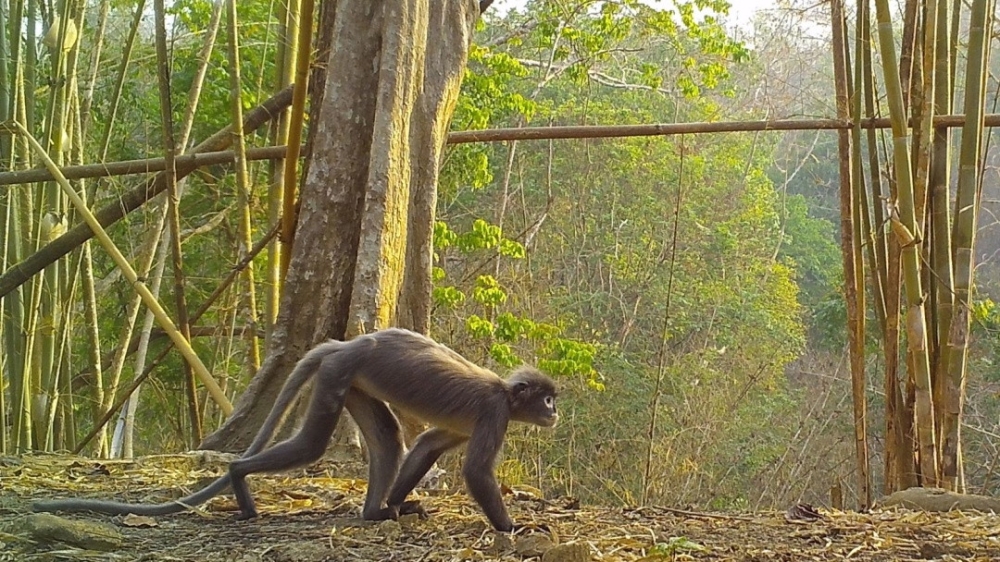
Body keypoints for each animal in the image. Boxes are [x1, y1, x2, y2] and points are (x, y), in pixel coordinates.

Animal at [31, 328, 560, 528]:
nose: (555, 411)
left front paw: (397, 504)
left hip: (350, 380)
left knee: (388, 438)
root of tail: (346, 343)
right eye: (547, 398)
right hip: (339, 374)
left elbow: (429, 443)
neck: (506, 394)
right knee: (311, 445)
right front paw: (514, 528)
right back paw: (239, 477)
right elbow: (474, 472)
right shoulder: (493, 412)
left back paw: (375, 513)